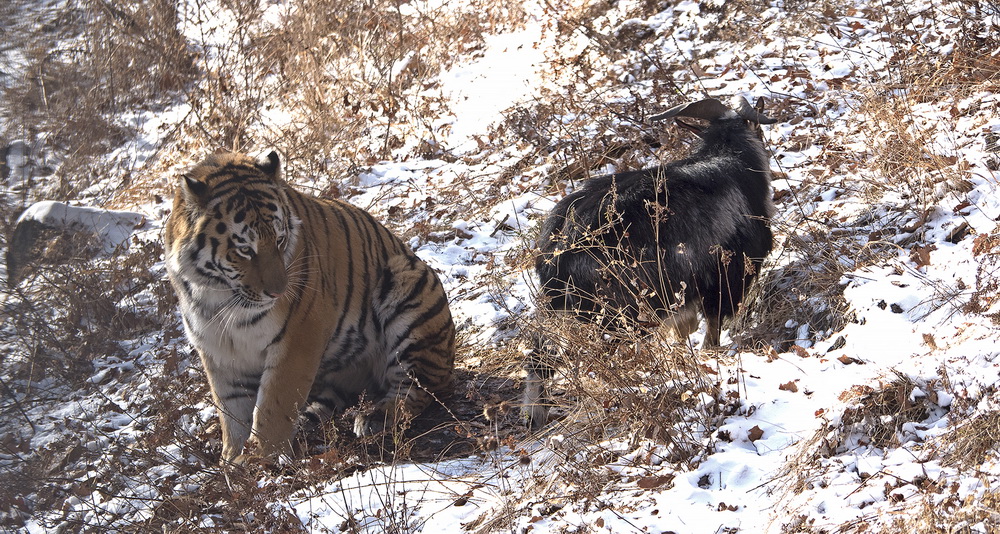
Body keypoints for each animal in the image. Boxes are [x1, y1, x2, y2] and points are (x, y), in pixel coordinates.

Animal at [165, 152, 458, 464]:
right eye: (245, 249)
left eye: (280, 241)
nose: (278, 292)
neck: (218, 298)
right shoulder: (219, 351)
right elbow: (232, 412)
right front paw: (232, 462)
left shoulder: (299, 336)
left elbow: (273, 403)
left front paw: (260, 459)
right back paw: (310, 421)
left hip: (408, 285)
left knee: (419, 389)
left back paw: (373, 418)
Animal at [524, 95, 780, 432]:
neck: (731, 162)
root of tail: (558, 249)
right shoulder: (725, 278)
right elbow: (712, 331)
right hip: (619, 313)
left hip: (568, 312)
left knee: (538, 356)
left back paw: (535, 415)